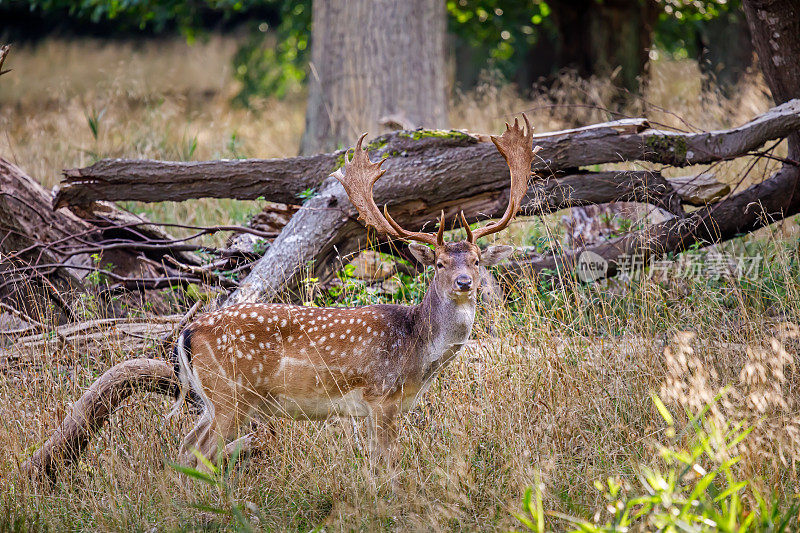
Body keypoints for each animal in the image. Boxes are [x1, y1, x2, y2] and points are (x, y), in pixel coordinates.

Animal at [171, 114, 540, 468]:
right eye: (439, 263)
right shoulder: (381, 396)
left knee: (185, 447)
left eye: (476, 261)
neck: (418, 354)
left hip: (213, 400)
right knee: (198, 450)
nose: (464, 283)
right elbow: (387, 462)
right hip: (231, 395)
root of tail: (186, 332)